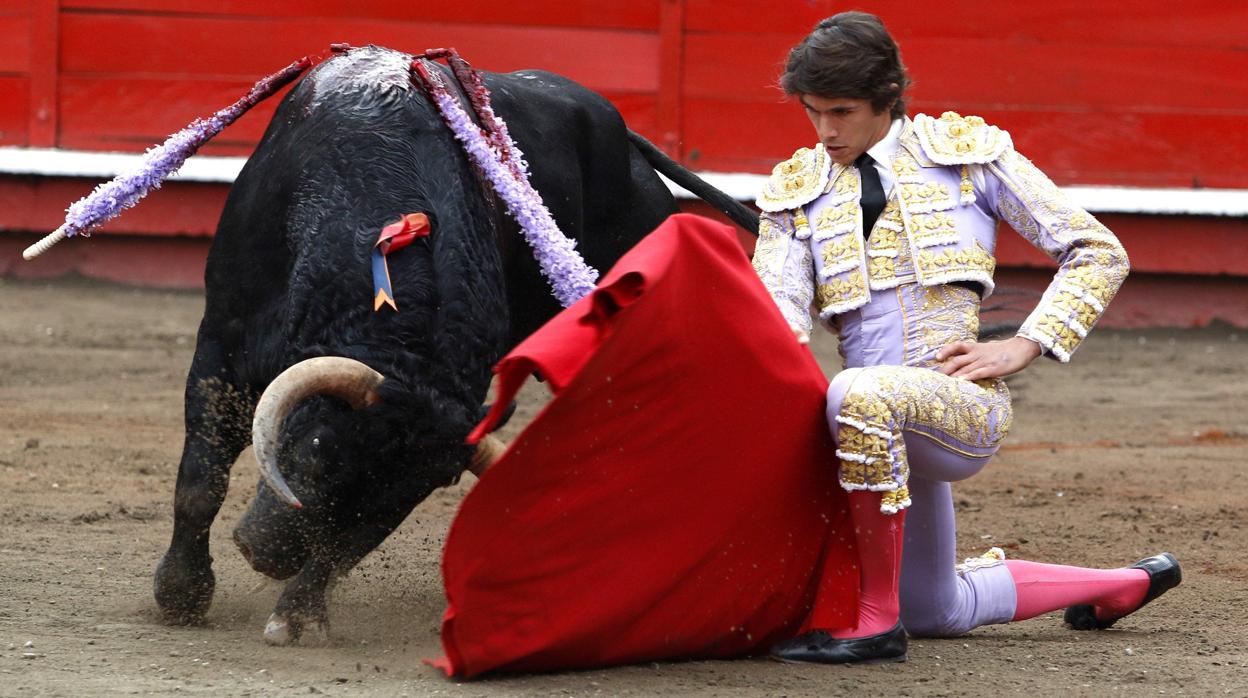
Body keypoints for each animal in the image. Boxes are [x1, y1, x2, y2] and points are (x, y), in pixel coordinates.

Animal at [156, 44, 758, 644]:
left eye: (400, 502)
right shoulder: (223, 343)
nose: (266, 556)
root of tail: (628, 140)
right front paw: (181, 595)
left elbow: (343, 548)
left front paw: (297, 613)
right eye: (317, 449)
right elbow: (200, 481)